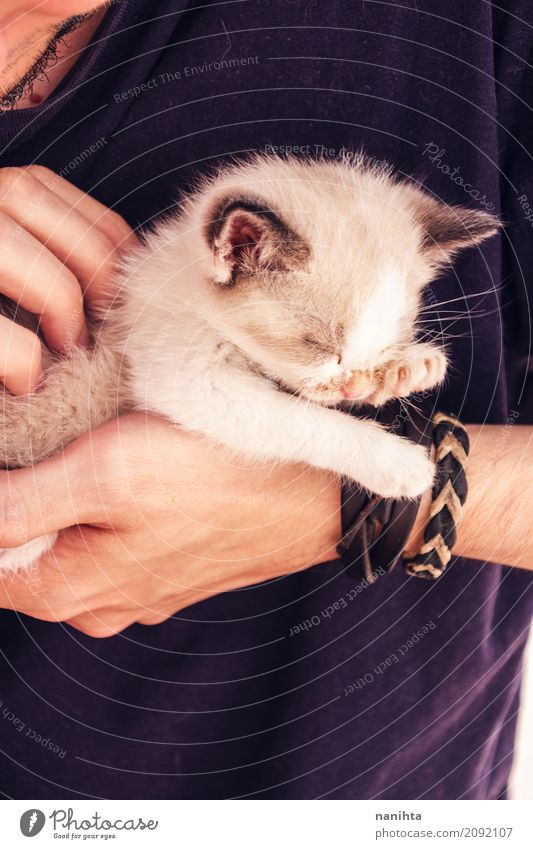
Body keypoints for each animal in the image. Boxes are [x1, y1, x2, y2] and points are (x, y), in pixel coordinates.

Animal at [0, 156, 496, 572]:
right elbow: (299, 420)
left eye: (383, 344)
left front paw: (407, 367)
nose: (352, 388)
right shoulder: (182, 374)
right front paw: (395, 463)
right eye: (318, 345)